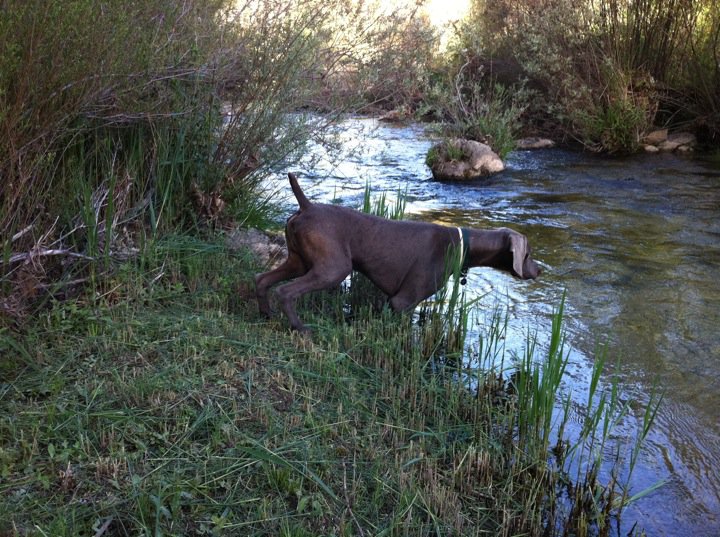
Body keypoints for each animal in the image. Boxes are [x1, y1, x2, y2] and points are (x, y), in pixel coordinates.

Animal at [255, 173, 540, 330]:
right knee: (286, 291)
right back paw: (300, 328)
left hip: (299, 261)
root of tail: (307, 206)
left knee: (262, 279)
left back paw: (266, 314)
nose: (538, 270)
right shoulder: (402, 302)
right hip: (333, 269)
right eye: (527, 254)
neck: (460, 243)